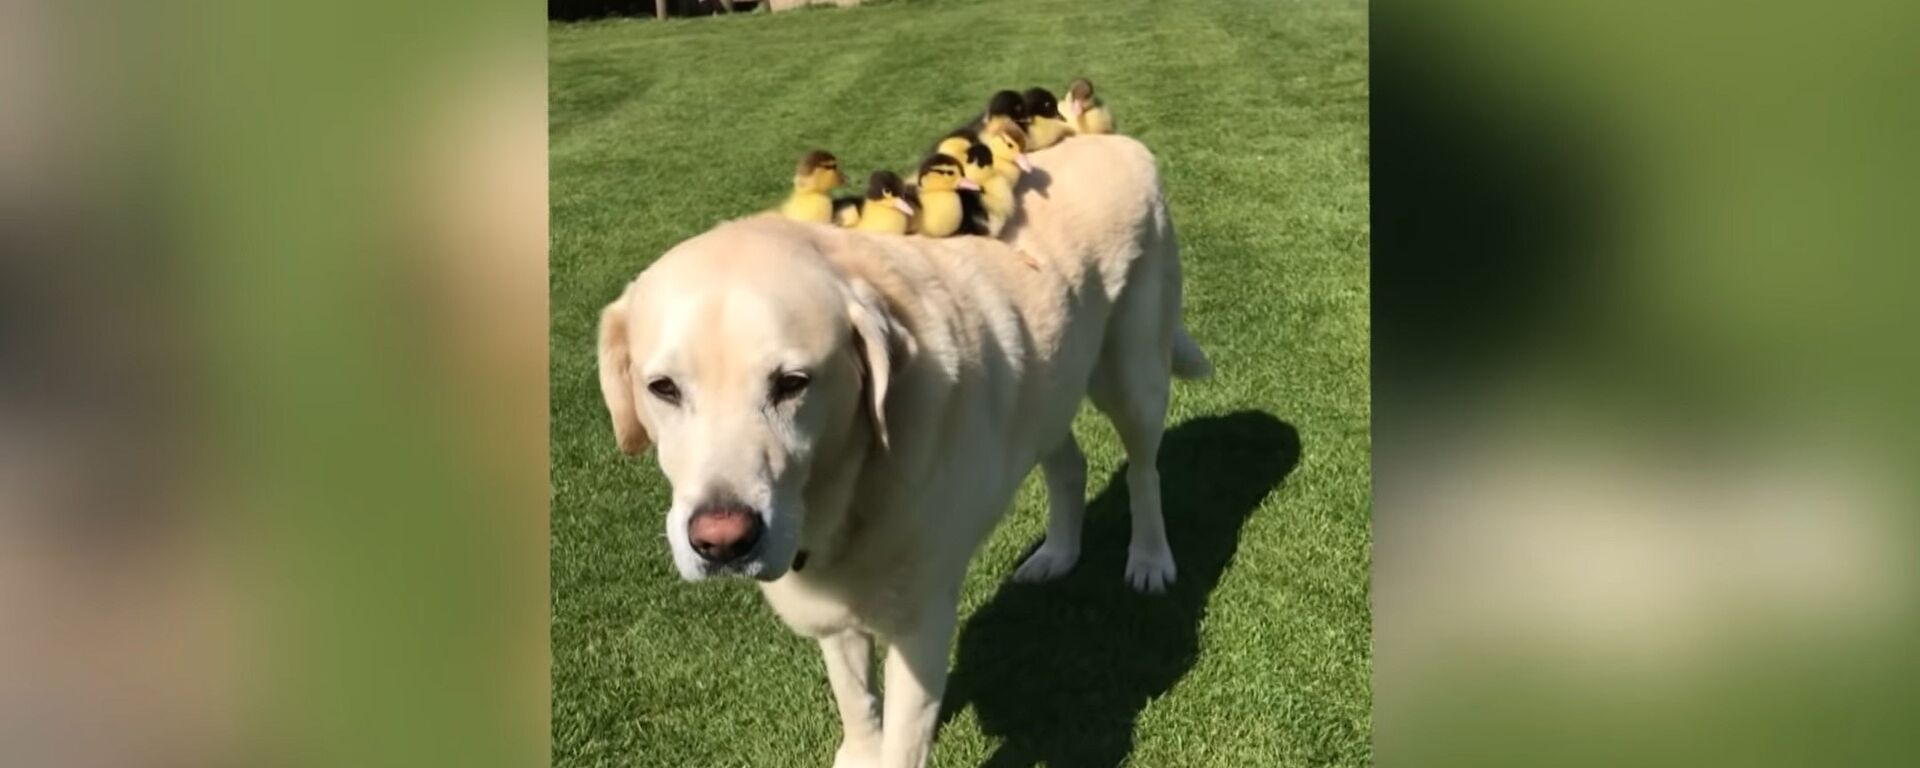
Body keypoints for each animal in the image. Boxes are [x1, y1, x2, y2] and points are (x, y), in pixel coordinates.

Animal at [591, 135, 1205, 764]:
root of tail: (1117, 140)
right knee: (1069, 465)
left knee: (1143, 470)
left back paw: (1149, 560)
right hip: (1051, 388)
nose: (722, 541)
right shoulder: (837, 614)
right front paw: (858, 746)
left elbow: (903, 741)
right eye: (663, 388)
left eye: (792, 383)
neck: (850, 487)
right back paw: (1057, 554)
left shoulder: (922, 624)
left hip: (1131, 374)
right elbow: (856, 699)